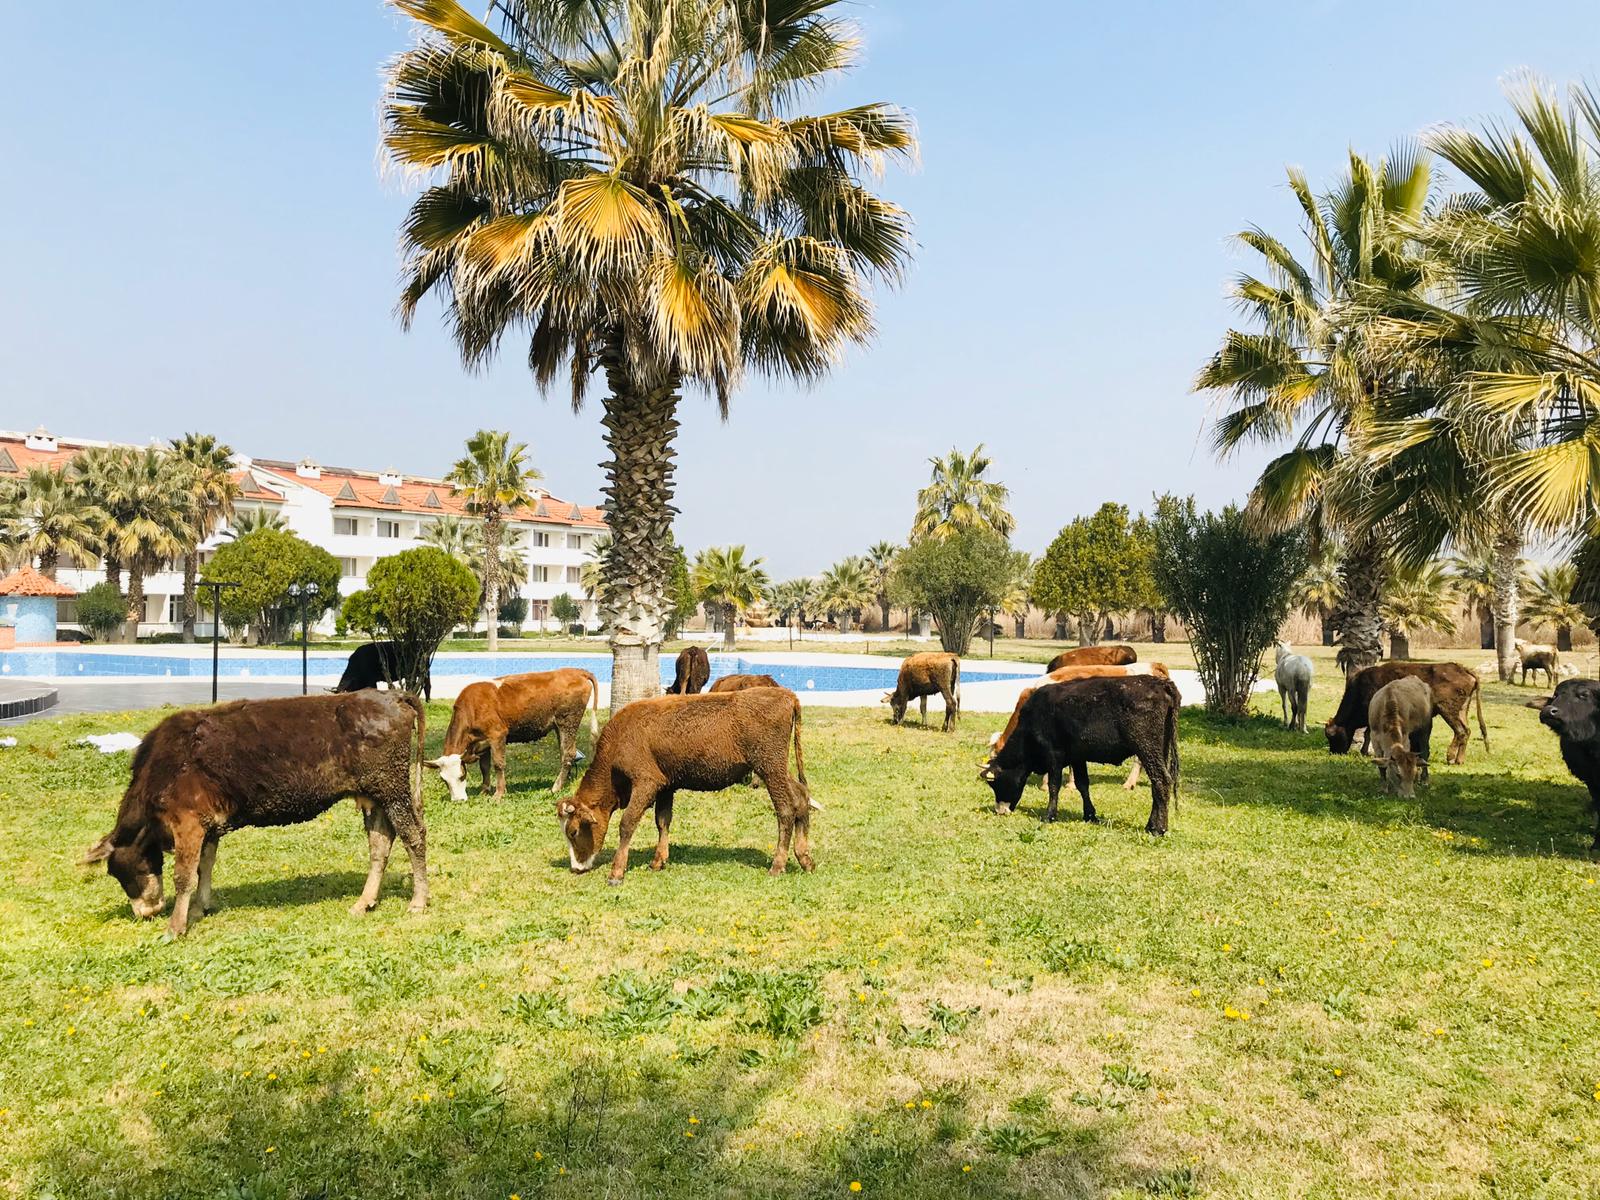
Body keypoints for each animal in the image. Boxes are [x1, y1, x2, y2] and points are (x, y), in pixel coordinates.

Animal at [425, 672, 601, 803]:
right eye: (443, 780)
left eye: (462, 776)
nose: (458, 800)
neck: (473, 707)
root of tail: (576, 671)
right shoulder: (482, 743)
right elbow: (484, 767)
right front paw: (484, 791)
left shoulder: (497, 734)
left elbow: (498, 764)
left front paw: (498, 794)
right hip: (560, 726)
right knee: (565, 752)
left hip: (568, 721)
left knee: (568, 754)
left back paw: (555, 787)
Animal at [556, 684, 819, 883]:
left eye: (573, 831)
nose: (576, 867)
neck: (620, 739)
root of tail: (787, 695)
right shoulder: (665, 786)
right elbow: (662, 821)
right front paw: (658, 861)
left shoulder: (646, 783)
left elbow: (627, 823)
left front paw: (616, 872)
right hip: (777, 770)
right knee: (801, 798)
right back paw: (805, 859)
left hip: (770, 768)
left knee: (786, 810)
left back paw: (777, 865)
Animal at [966, 678, 1184, 838]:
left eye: (996, 784)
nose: (1000, 811)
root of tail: (1161, 683)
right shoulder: (1077, 757)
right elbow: (1082, 785)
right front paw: (1090, 815)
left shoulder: (1054, 754)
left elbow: (1054, 786)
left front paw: (1049, 815)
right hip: (1159, 749)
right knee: (1157, 785)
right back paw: (1150, 825)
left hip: (1147, 748)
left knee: (1161, 781)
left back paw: (1158, 828)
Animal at [1324, 662, 1484, 764]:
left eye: (1331, 735)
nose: (1334, 752)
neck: (1360, 689)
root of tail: (1462, 669)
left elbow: (1368, 733)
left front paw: (1366, 752)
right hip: (1462, 710)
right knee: (1467, 731)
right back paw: (1459, 760)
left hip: (1448, 710)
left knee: (1460, 731)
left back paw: (1450, 758)